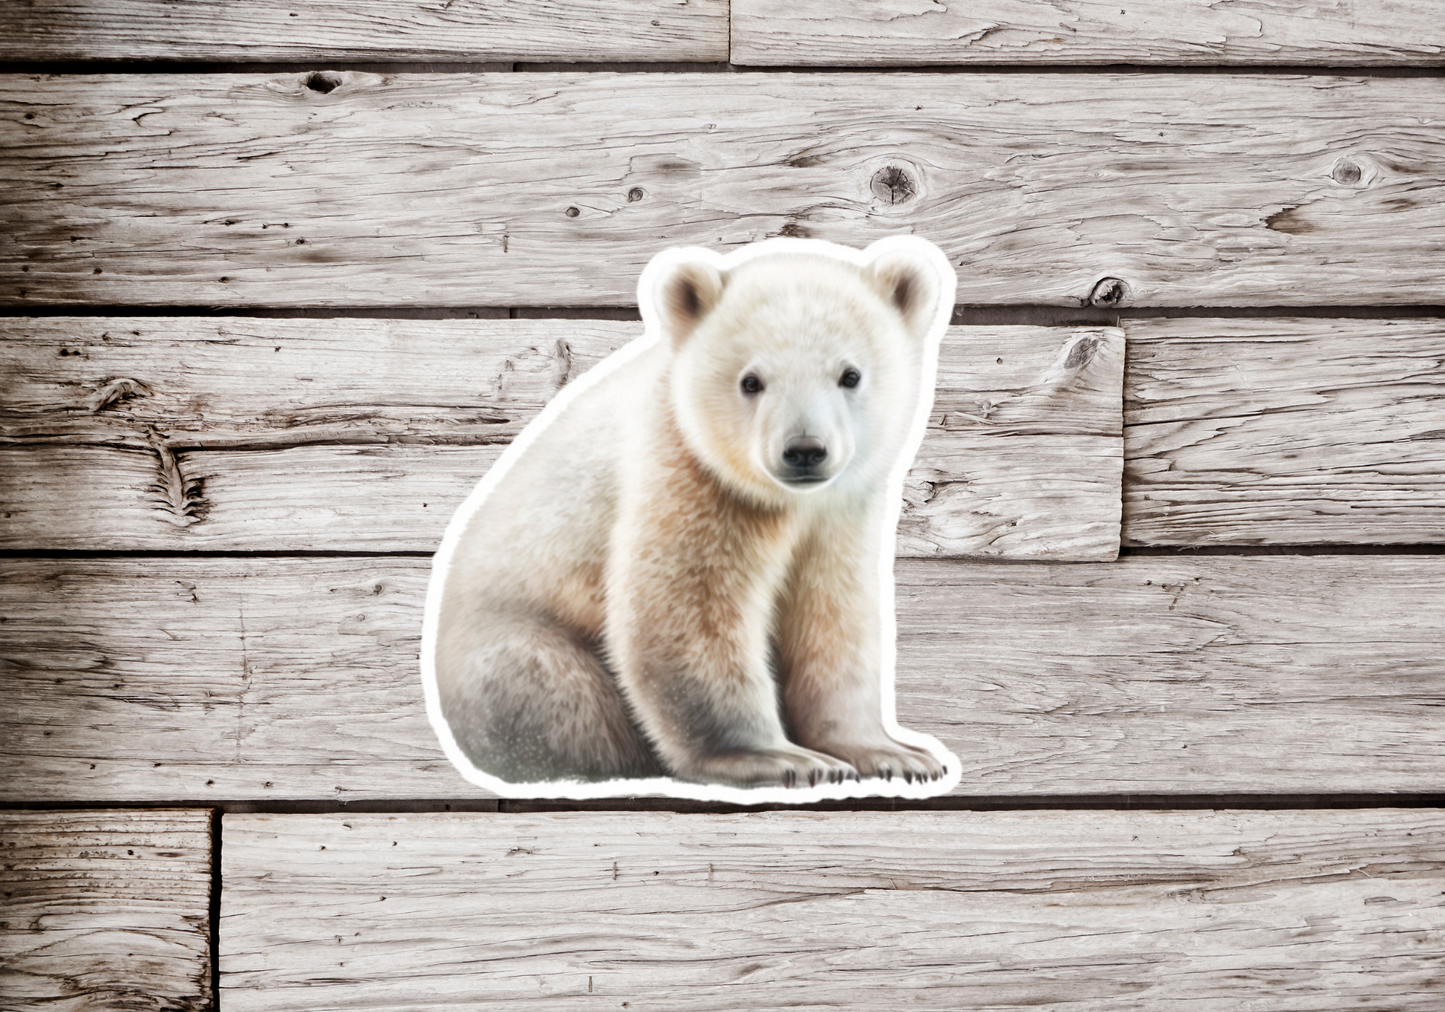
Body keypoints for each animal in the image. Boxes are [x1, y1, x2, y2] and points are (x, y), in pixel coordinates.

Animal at [423, 236, 958, 794]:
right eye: (751, 381)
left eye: (850, 375)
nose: (805, 451)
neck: (787, 502)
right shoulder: (689, 471)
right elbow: (686, 604)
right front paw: (776, 758)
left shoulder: (840, 512)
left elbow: (833, 612)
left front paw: (893, 753)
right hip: (518, 654)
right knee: (564, 700)